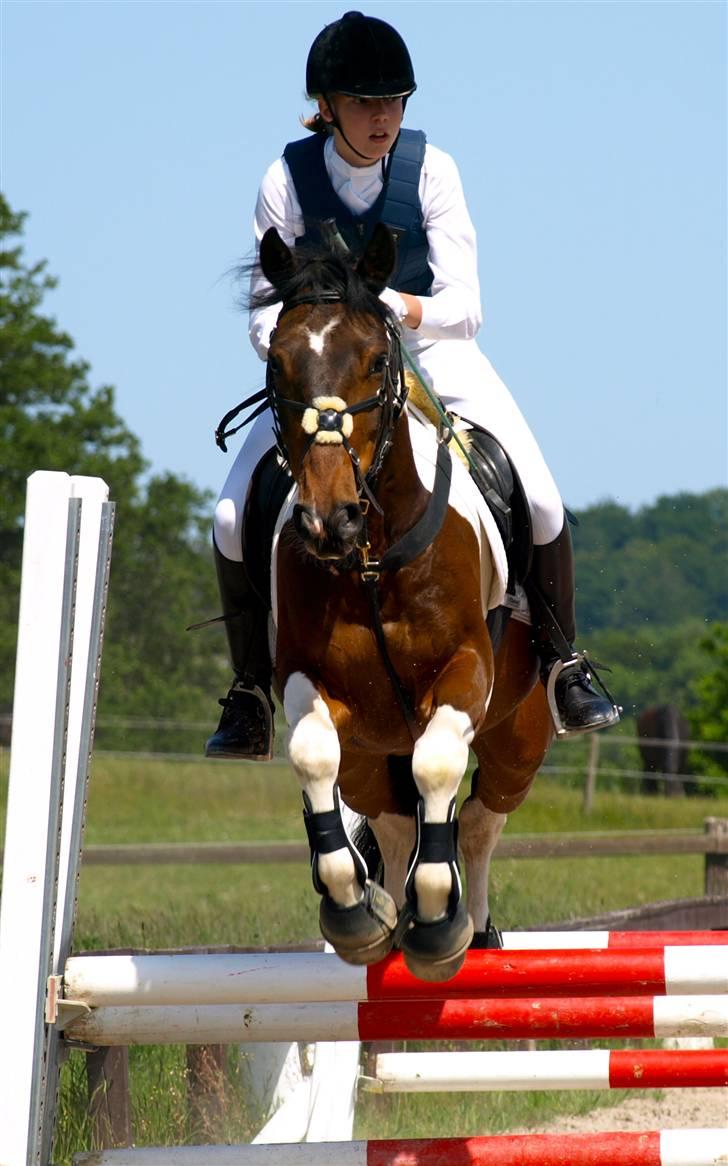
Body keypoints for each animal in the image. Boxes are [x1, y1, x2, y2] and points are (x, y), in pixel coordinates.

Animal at [254, 222, 550, 979]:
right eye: (278, 362)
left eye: (375, 359)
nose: (328, 521)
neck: (370, 559)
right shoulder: (310, 681)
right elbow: (313, 757)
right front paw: (355, 911)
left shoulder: (467, 672)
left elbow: (440, 765)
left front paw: (439, 922)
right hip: (370, 754)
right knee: (386, 818)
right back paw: (384, 912)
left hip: (520, 736)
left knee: (478, 820)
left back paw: (474, 929)